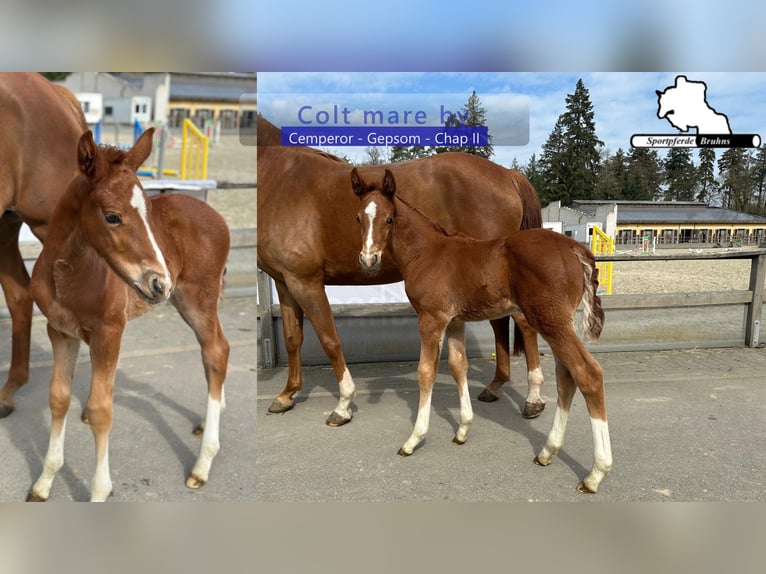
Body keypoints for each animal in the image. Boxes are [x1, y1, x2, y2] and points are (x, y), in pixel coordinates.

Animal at [26, 128, 231, 502]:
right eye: (111, 216)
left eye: (149, 213)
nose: (159, 282)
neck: (68, 272)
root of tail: (216, 216)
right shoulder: (60, 331)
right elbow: (58, 398)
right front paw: (44, 482)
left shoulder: (110, 333)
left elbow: (100, 409)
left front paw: (98, 491)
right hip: (186, 302)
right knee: (217, 350)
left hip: (198, 300)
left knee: (216, 352)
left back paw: (202, 465)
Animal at [257, 114, 547, 429]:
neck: (281, 179)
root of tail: (507, 174)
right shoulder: (285, 282)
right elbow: (292, 338)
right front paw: (286, 395)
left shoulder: (306, 281)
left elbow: (329, 339)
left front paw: (343, 404)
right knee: (501, 323)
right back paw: (495, 386)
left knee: (524, 325)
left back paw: (533, 399)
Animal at [351, 168, 612, 493]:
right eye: (358, 218)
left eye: (389, 219)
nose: (368, 260)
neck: (427, 252)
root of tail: (575, 247)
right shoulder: (455, 320)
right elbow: (458, 365)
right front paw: (463, 429)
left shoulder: (431, 319)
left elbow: (426, 372)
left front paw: (413, 439)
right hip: (556, 323)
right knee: (567, 376)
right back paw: (548, 451)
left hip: (551, 321)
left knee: (588, 373)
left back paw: (595, 473)